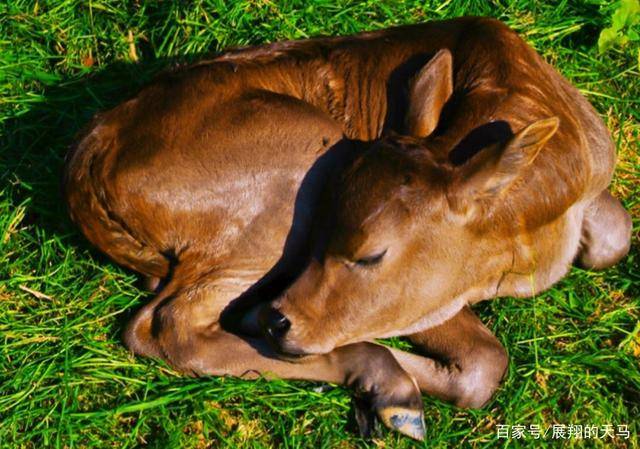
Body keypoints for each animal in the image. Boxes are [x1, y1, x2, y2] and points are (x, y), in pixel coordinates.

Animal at [63, 16, 632, 438]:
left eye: (370, 255)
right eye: (324, 231)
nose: (277, 320)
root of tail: (93, 145)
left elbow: (616, 233)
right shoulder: (421, 295)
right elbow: (484, 360)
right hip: (293, 173)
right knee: (168, 327)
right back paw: (383, 378)